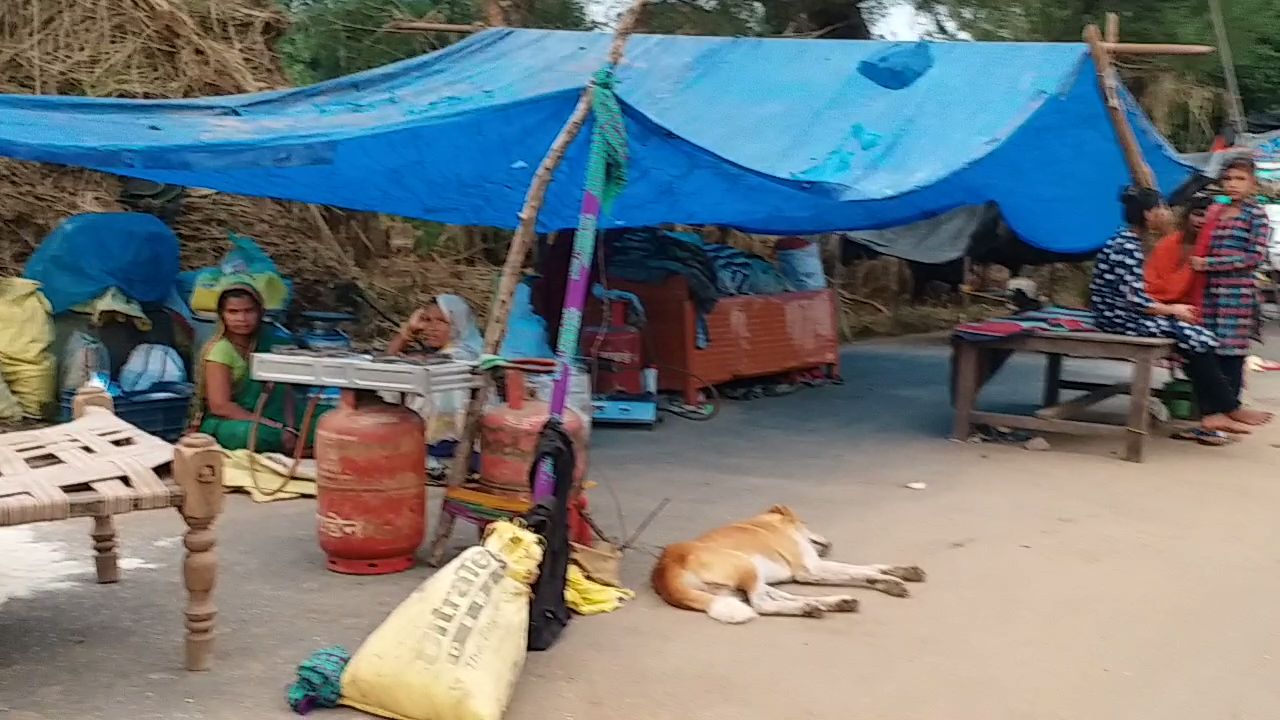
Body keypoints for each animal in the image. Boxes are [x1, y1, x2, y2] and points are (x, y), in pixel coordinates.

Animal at [655, 502, 926, 620]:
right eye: (806, 523)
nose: (830, 544)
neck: (768, 522)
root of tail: (664, 570)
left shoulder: (814, 567)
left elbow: (866, 568)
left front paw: (898, 573)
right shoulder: (812, 569)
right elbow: (859, 572)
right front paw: (889, 581)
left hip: (752, 577)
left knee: (782, 597)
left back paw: (830, 603)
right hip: (746, 566)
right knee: (761, 605)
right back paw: (811, 607)